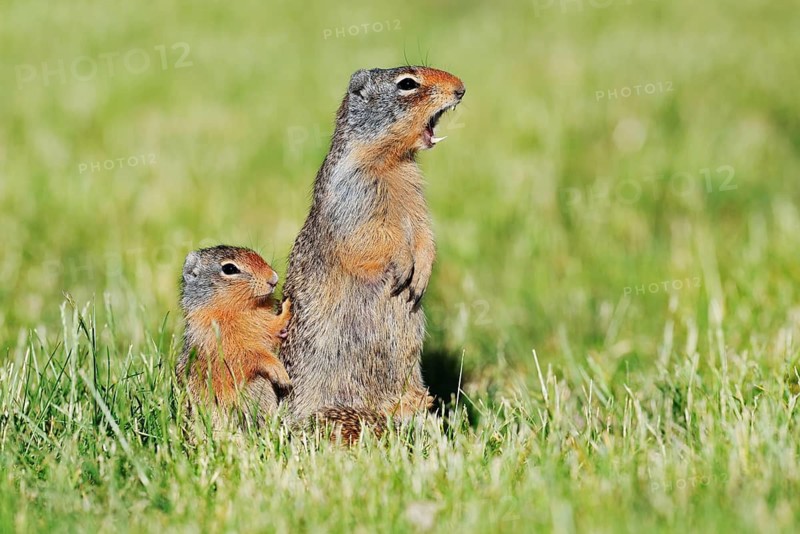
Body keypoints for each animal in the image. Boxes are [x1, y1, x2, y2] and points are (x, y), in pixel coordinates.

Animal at [175, 245, 293, 429]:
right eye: (229, 268)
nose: (273, 279)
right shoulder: (224, 346)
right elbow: (252, 355)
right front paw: (279, 372)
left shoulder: (263, 326)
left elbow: (272, 330)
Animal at [280, 66, 466, 441]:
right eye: (407, 84)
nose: (461, 89)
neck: (393, 163)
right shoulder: (353, 193)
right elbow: (374, 237)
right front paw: (403, 265)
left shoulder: (417, 202)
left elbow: (424, 235)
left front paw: (421, 273)